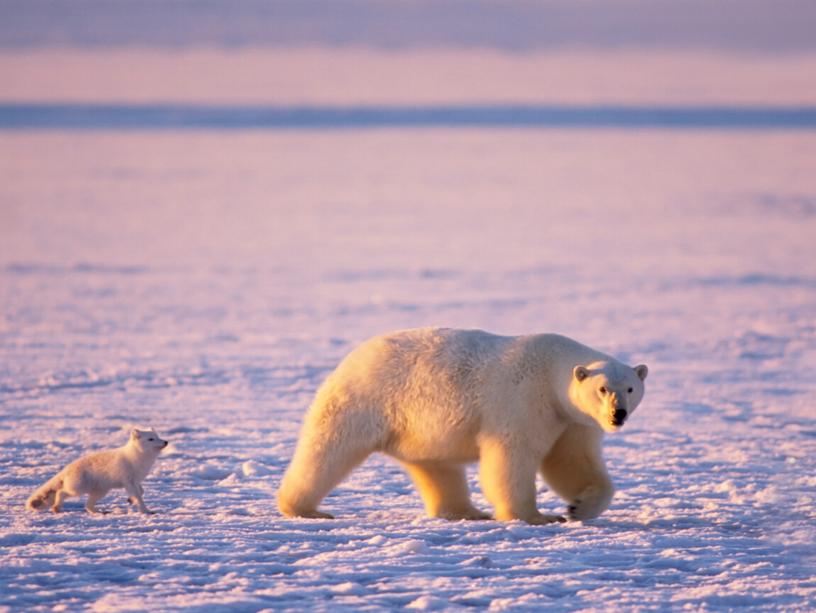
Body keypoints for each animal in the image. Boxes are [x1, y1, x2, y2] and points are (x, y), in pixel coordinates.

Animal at [26, 428, 167, 512]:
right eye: (151, 439)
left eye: (158, 436)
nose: (166, 441)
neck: (137, 458)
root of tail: (68, 467)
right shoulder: (128, 481)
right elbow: (139, 496)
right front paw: (145, 511)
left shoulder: (135, 481)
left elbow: (141, 491)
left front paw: (130, 500)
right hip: (79, 488)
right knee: (61, 492)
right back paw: (56, 507)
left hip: (100, 491)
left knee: (87, 506)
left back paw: (99, 512)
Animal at [278, 328, 648, 524]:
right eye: (603, 389)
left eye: (630, 388)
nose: (618, 414)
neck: (551, 368)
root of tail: (353, 356)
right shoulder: (523, 401)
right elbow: (512, 457)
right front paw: (534, 516)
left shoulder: (571, 420)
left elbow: (571, 461)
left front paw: (577, 507)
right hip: (365, 400)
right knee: (328, 449)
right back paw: (305, 509)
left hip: (419, 429)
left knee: (438, 468)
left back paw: (467, 511)